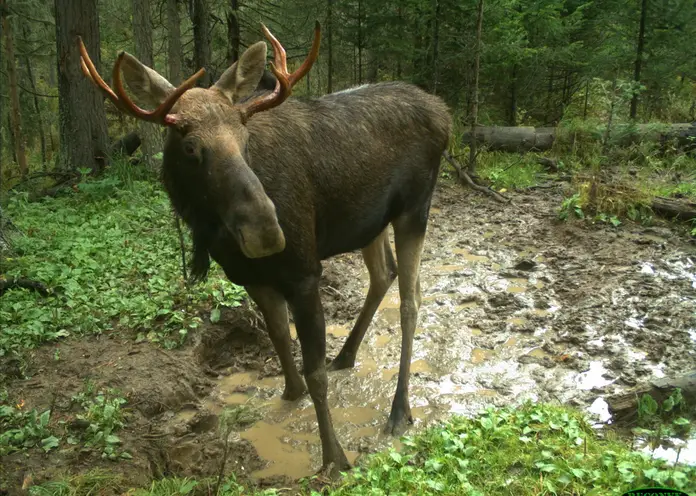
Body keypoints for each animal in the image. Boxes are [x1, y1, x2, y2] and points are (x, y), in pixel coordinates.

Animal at [77, 21, 452, 474]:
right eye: (190, 147)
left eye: (244, 139)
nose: (266, 232)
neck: (215, 236)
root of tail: (445, 113)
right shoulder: (251, 278)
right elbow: (278, 339)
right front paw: (289, 396)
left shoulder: (305, 273)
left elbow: (314, 373)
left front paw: (334, 458)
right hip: (370, 221)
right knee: (384, 274)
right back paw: (346, 354)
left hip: (415, 209)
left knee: (411, 300)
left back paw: (399, 409)